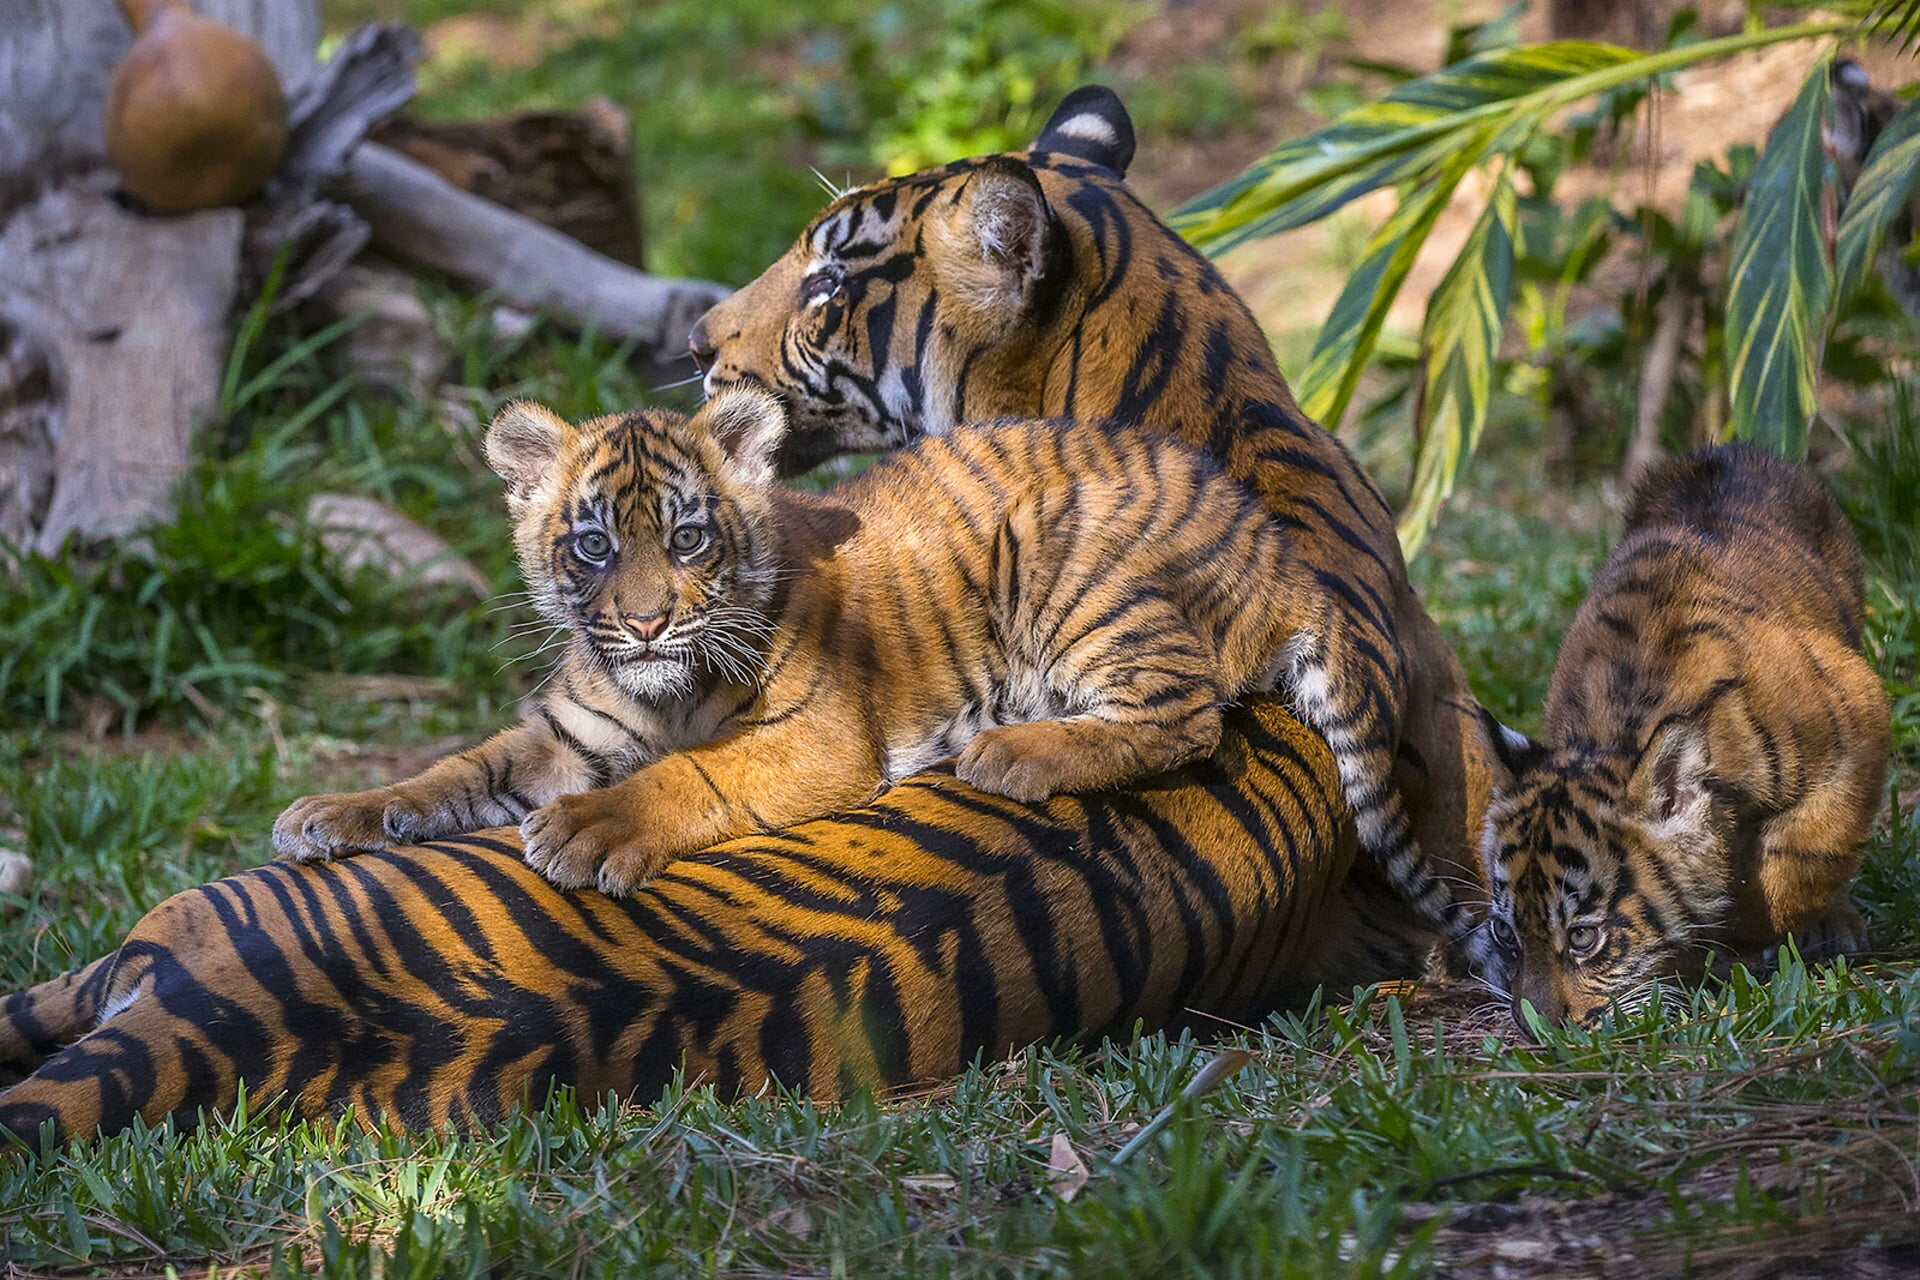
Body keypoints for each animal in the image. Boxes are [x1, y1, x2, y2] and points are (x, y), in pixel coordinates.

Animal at [277, 388, 1328, 897]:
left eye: (688, 538)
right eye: (594, 545)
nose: (646, 622)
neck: (663, 693)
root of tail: (1274, 544)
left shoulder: (819, 736)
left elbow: (694, 772)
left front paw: (586, 831)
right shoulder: (563, 737)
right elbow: (453, 773)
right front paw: (333, 813)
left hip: (1062, 563)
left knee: (1187, 713)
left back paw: (1014, 753)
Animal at [1480, 444, 1890, 1032]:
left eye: (1582, 937)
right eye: (1505, 932)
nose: (1536, 1030)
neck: (1621, 728)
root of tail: (1727, 450)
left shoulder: (1858, 716)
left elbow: (1806, 855)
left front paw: (1747, 929)